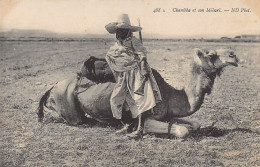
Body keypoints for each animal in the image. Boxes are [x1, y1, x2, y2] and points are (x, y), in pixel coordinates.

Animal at [37, 48, 239, 137]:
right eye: (211, 54)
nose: (233, 56)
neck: (170, 95)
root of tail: (52, 87)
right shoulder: (146, 118)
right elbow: (182, 130)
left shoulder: (167, 114)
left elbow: (194, 124)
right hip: (68, 106)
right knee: (77, 119)